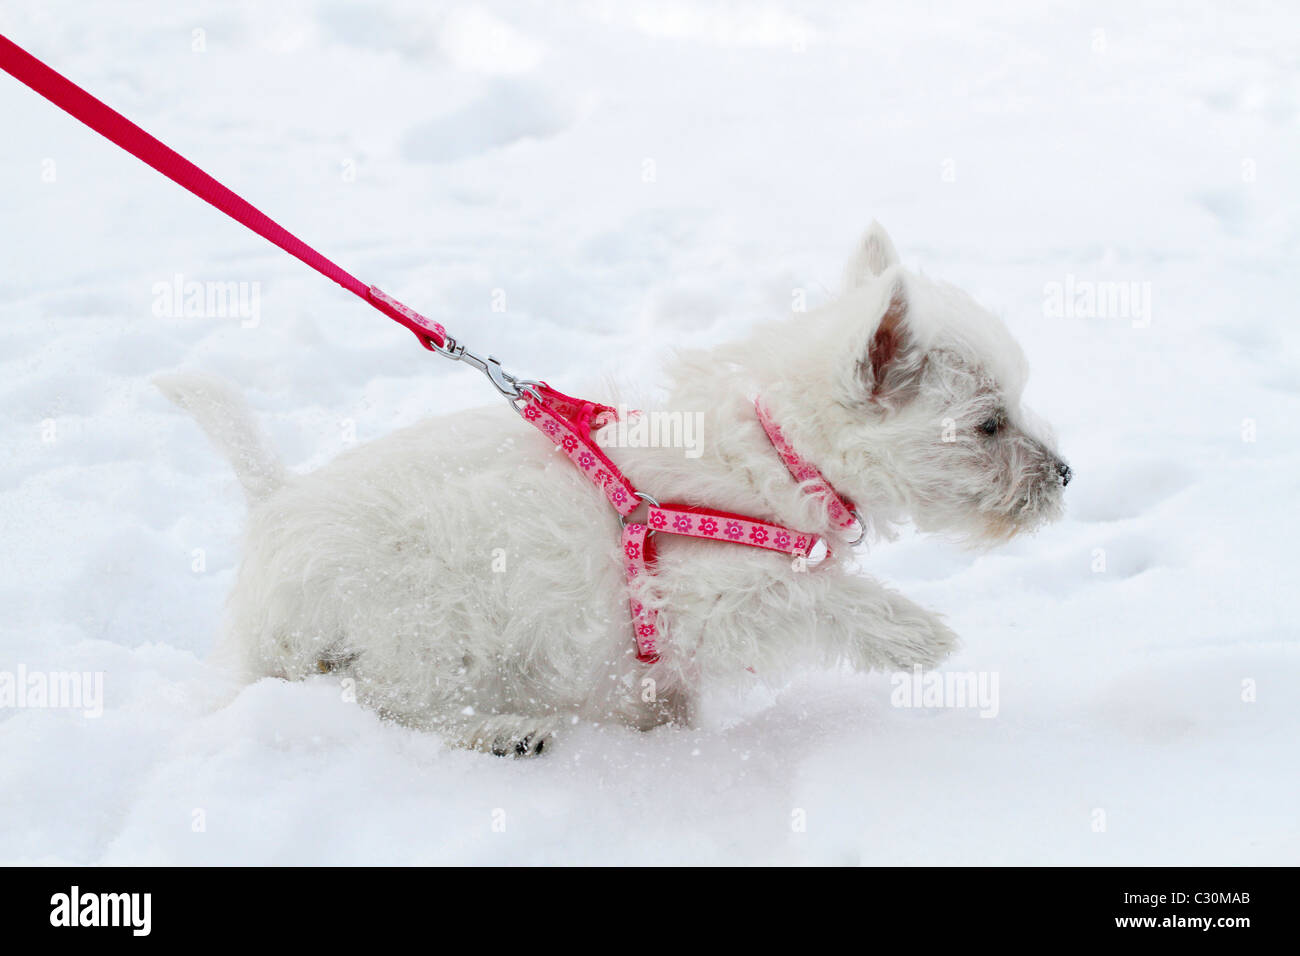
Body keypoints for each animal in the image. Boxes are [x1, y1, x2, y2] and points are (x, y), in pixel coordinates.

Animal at [157, 222, 1071, 754]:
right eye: (990, 425)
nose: (1065, 475)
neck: (776, 452)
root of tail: (274, 503)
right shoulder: (709, 591)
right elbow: (815, 591)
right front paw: (921, 636)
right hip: (415, 627)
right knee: (391, 697)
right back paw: (502, 730)